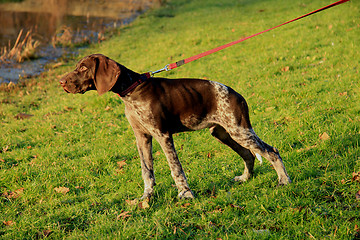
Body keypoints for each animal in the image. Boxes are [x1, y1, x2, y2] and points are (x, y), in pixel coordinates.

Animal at [58, 53, 290, 200]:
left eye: (83, 68)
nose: (61, 82)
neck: (132, 90)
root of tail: (237, 94)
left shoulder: (162, 135)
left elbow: (175, 168)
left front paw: (185, 194)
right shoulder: (142, 137)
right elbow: (146, 170)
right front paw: (147, 197)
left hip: (239, 130)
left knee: (272, 151)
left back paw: (284, 181)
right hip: (223, 133)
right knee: (249, 154)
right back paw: (245, 178)